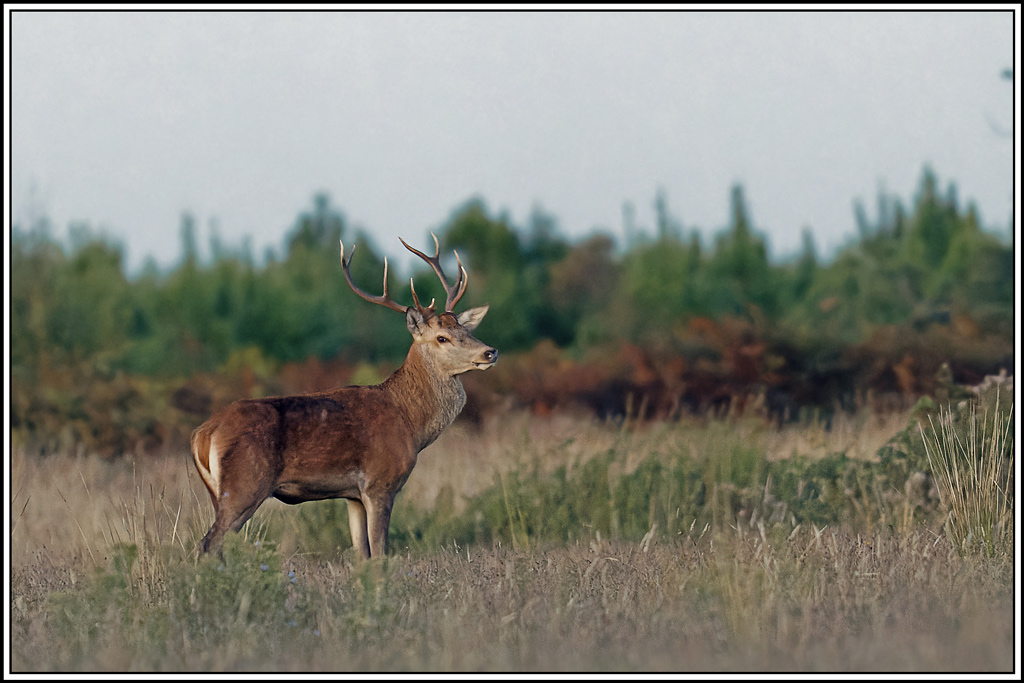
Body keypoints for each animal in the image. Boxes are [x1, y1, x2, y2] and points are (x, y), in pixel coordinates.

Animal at [190, 234, 497, 559]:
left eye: (466, 330)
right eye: (442, 338)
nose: (490, 352)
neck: (411, 425)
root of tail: (202, 435)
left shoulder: (353, 496)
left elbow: (361, 553)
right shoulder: (380, 483)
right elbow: (380, 553)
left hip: (219, 492)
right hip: (244, 486)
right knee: (209, 543)